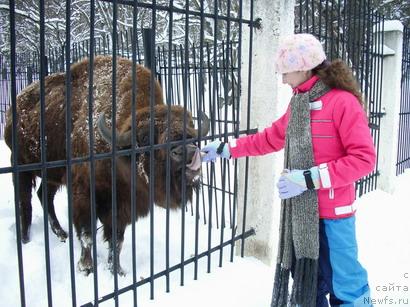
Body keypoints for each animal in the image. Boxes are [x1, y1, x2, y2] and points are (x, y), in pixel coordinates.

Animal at [6, 56, 210, 276]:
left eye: (191, 134)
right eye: (145, 138)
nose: (188, 152)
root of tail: (15, 104)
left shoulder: (122, 208)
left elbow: (116, 240)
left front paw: (117, 270)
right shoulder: (84, 197)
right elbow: (87, 235)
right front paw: (86, 268)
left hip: (52, 175)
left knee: (44, 195)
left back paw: (61, 234)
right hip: (21, 166)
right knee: (25, 201)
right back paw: (25, 239)